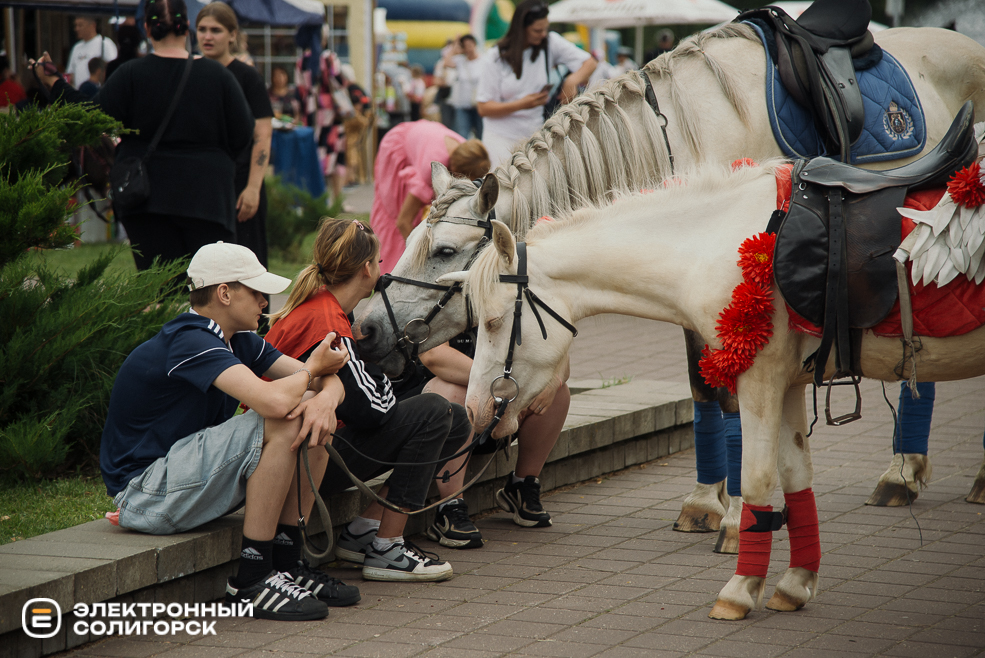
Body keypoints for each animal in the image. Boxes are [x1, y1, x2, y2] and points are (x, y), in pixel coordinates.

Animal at [358, 21, 984, 544]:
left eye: (445, 252)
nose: (365, 328)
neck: (678, 136)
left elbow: (731, 394)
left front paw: (738, 512)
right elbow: (704, 388)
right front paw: (707, 501)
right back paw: (905, 472)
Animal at [450, 158, 984, 616]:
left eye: (493, 322)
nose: (474, 410)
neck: (715, 246)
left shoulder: (759, 380)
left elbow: (757, 479)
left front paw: (740, 589)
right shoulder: (788, 383)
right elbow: (796, 478)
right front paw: (795, 584)